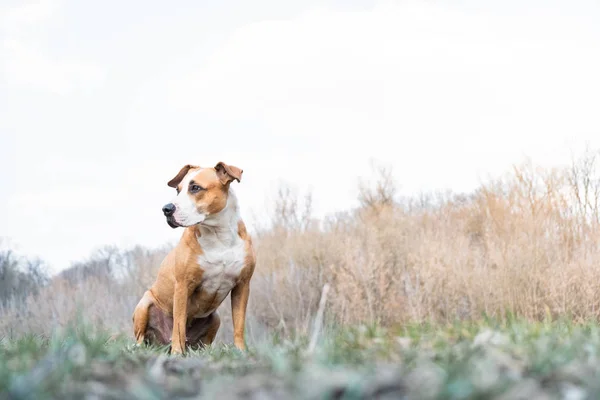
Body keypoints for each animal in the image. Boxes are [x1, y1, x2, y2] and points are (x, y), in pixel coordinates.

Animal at [132, 161, 254, 354]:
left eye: (195, 188)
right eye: (178, 190)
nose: (166, 209)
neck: (218, 235)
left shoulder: (242, 285)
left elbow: (239, 324)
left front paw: (241, 352)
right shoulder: (183, 285)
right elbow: (179, 323)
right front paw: (177, 353)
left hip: (215, 318)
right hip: (144, 304)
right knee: (141, 337)